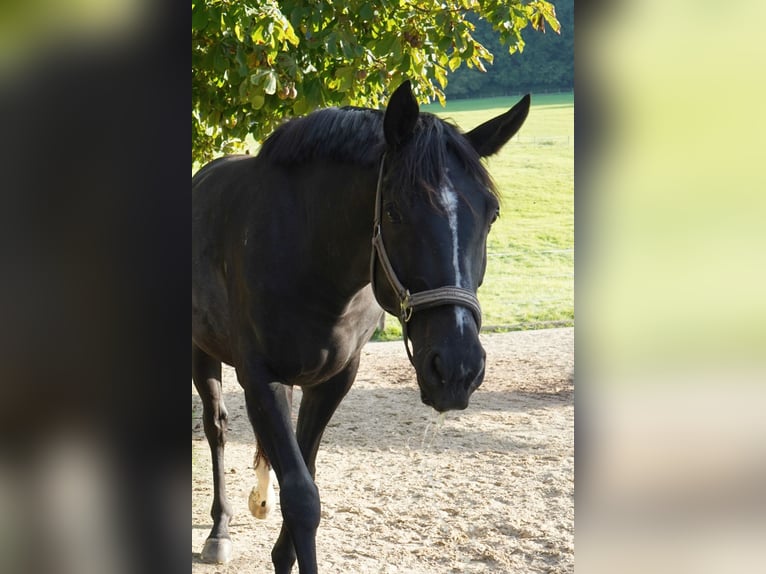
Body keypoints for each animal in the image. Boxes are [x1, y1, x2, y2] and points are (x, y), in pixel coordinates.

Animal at [194, 82, 528, 574]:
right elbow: (302, 498)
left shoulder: (334, 380)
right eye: (394, 211)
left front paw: (281, 552)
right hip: (202, 351)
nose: (457, 369)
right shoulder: (259, 377)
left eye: (492, 215)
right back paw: (219, 531)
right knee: (215, 427)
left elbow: (306, 474)